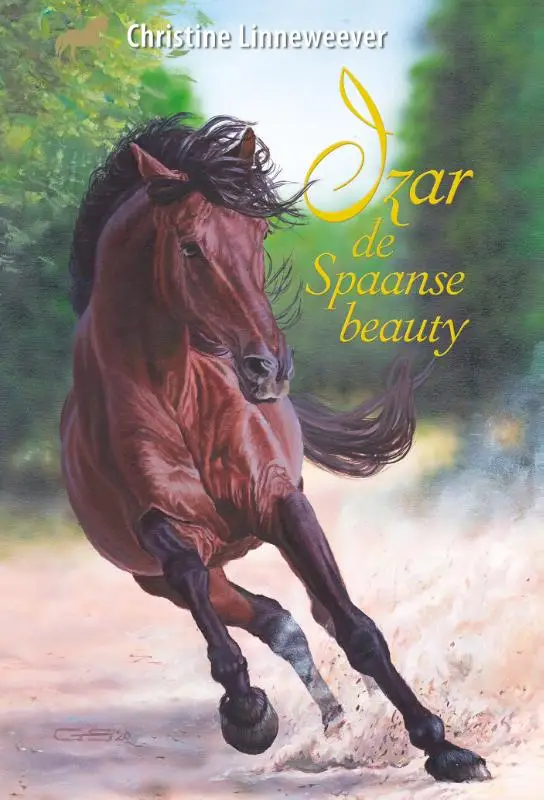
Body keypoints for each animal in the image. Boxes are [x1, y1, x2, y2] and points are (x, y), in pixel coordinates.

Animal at [60, 113, 490, 782]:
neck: (177, 391)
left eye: (258, 236)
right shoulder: (161, 529)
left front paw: (444, 747)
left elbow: (358, 630)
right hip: (163, 579)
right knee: (272, 618)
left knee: (315, 614)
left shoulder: (282, 503)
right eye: (189, 246)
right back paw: (328, 718)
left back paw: (357, 716)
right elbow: (203, 589)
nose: (268, 369)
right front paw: (246, 712)